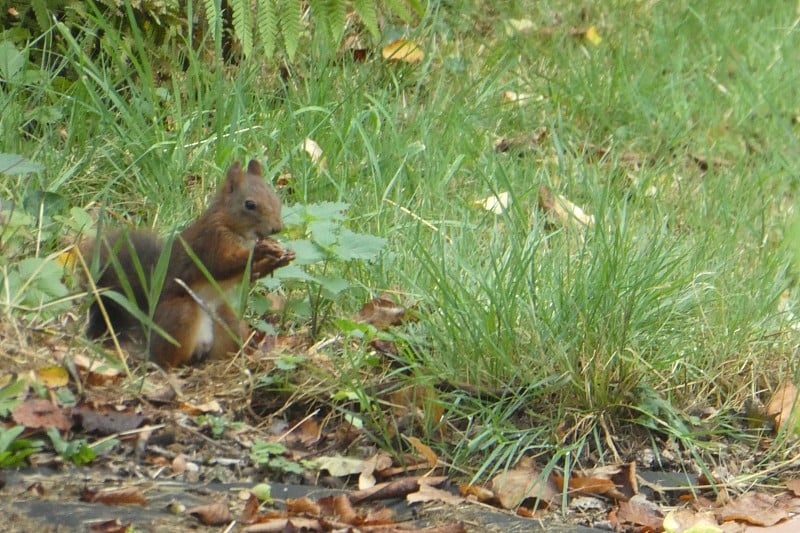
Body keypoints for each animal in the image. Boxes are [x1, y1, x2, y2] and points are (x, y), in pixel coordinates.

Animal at [83, 159, 294, 366]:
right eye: (249, 204)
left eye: (275, 198)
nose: (277, 228)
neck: (234, 228)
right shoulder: (211, 243)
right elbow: (220, 267)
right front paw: (261, 250)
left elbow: (249, 275)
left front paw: (280, 259)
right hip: (182, 314)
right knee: (168, 359)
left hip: (226, 319)